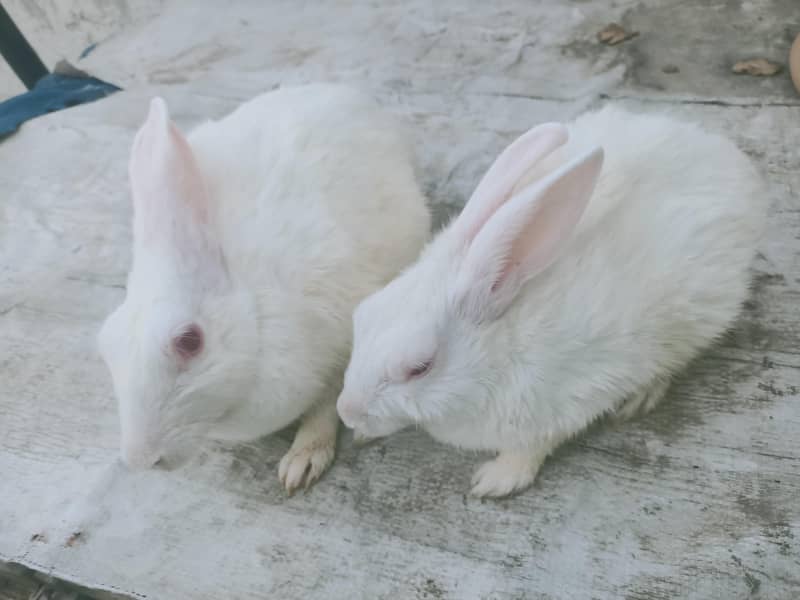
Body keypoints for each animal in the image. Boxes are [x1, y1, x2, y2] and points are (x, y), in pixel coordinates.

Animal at [97, 84, 431, 494]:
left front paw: (302, 462)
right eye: (106, 345)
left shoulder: (338, 343)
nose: (141, 459)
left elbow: (327, 404)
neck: (254, 315)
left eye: (189, 341)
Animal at [336, 105, 767, 498]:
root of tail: (732, 162)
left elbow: (532, 448)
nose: (345, 411)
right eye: (361, 317)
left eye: (419, 368)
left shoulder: (568, 402)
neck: (499, 354)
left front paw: (494, 481)